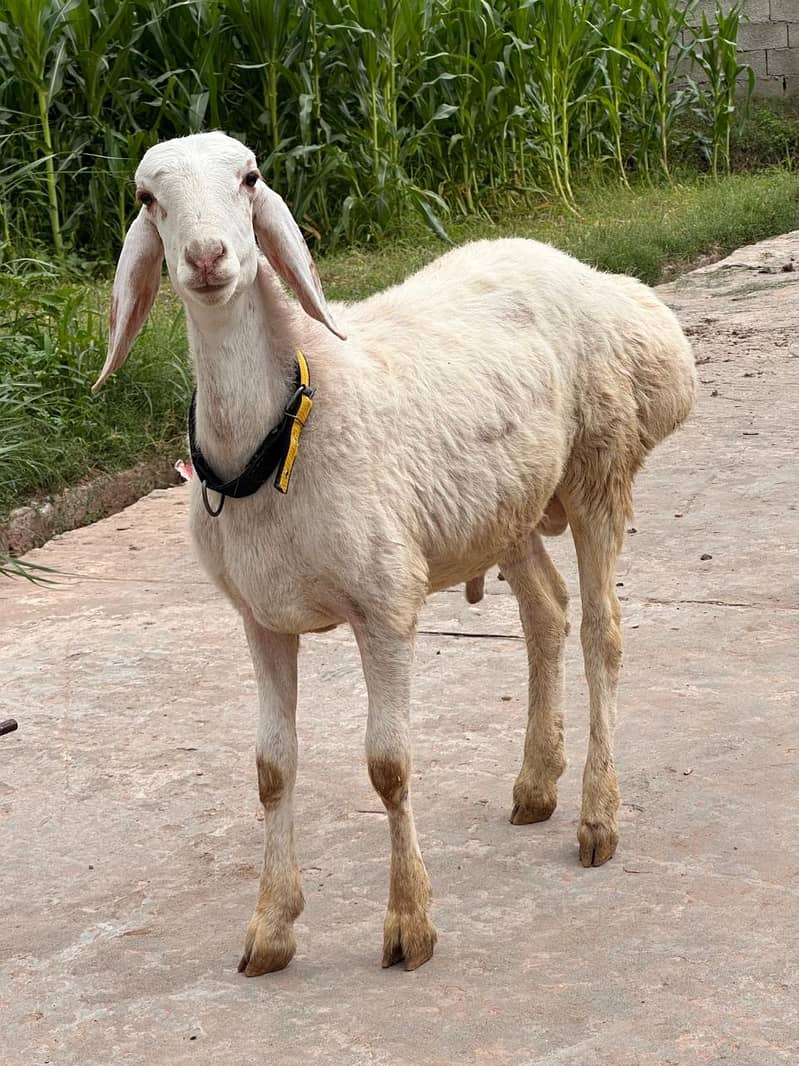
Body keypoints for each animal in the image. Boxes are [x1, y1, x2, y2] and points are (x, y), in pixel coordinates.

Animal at [93, 131, 696, 976]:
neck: (287, 423)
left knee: (600, 634)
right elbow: (271, 770)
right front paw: (270, 929)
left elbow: (388, 766)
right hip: (505, 504)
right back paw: (535, 786)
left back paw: (596, 819)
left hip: (598, 465)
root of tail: (606, 282)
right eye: (149, 199)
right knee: (546, 614)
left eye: (250, 178)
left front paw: (409, 925)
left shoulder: (384, 601)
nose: (208, 258)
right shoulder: (260, 618)